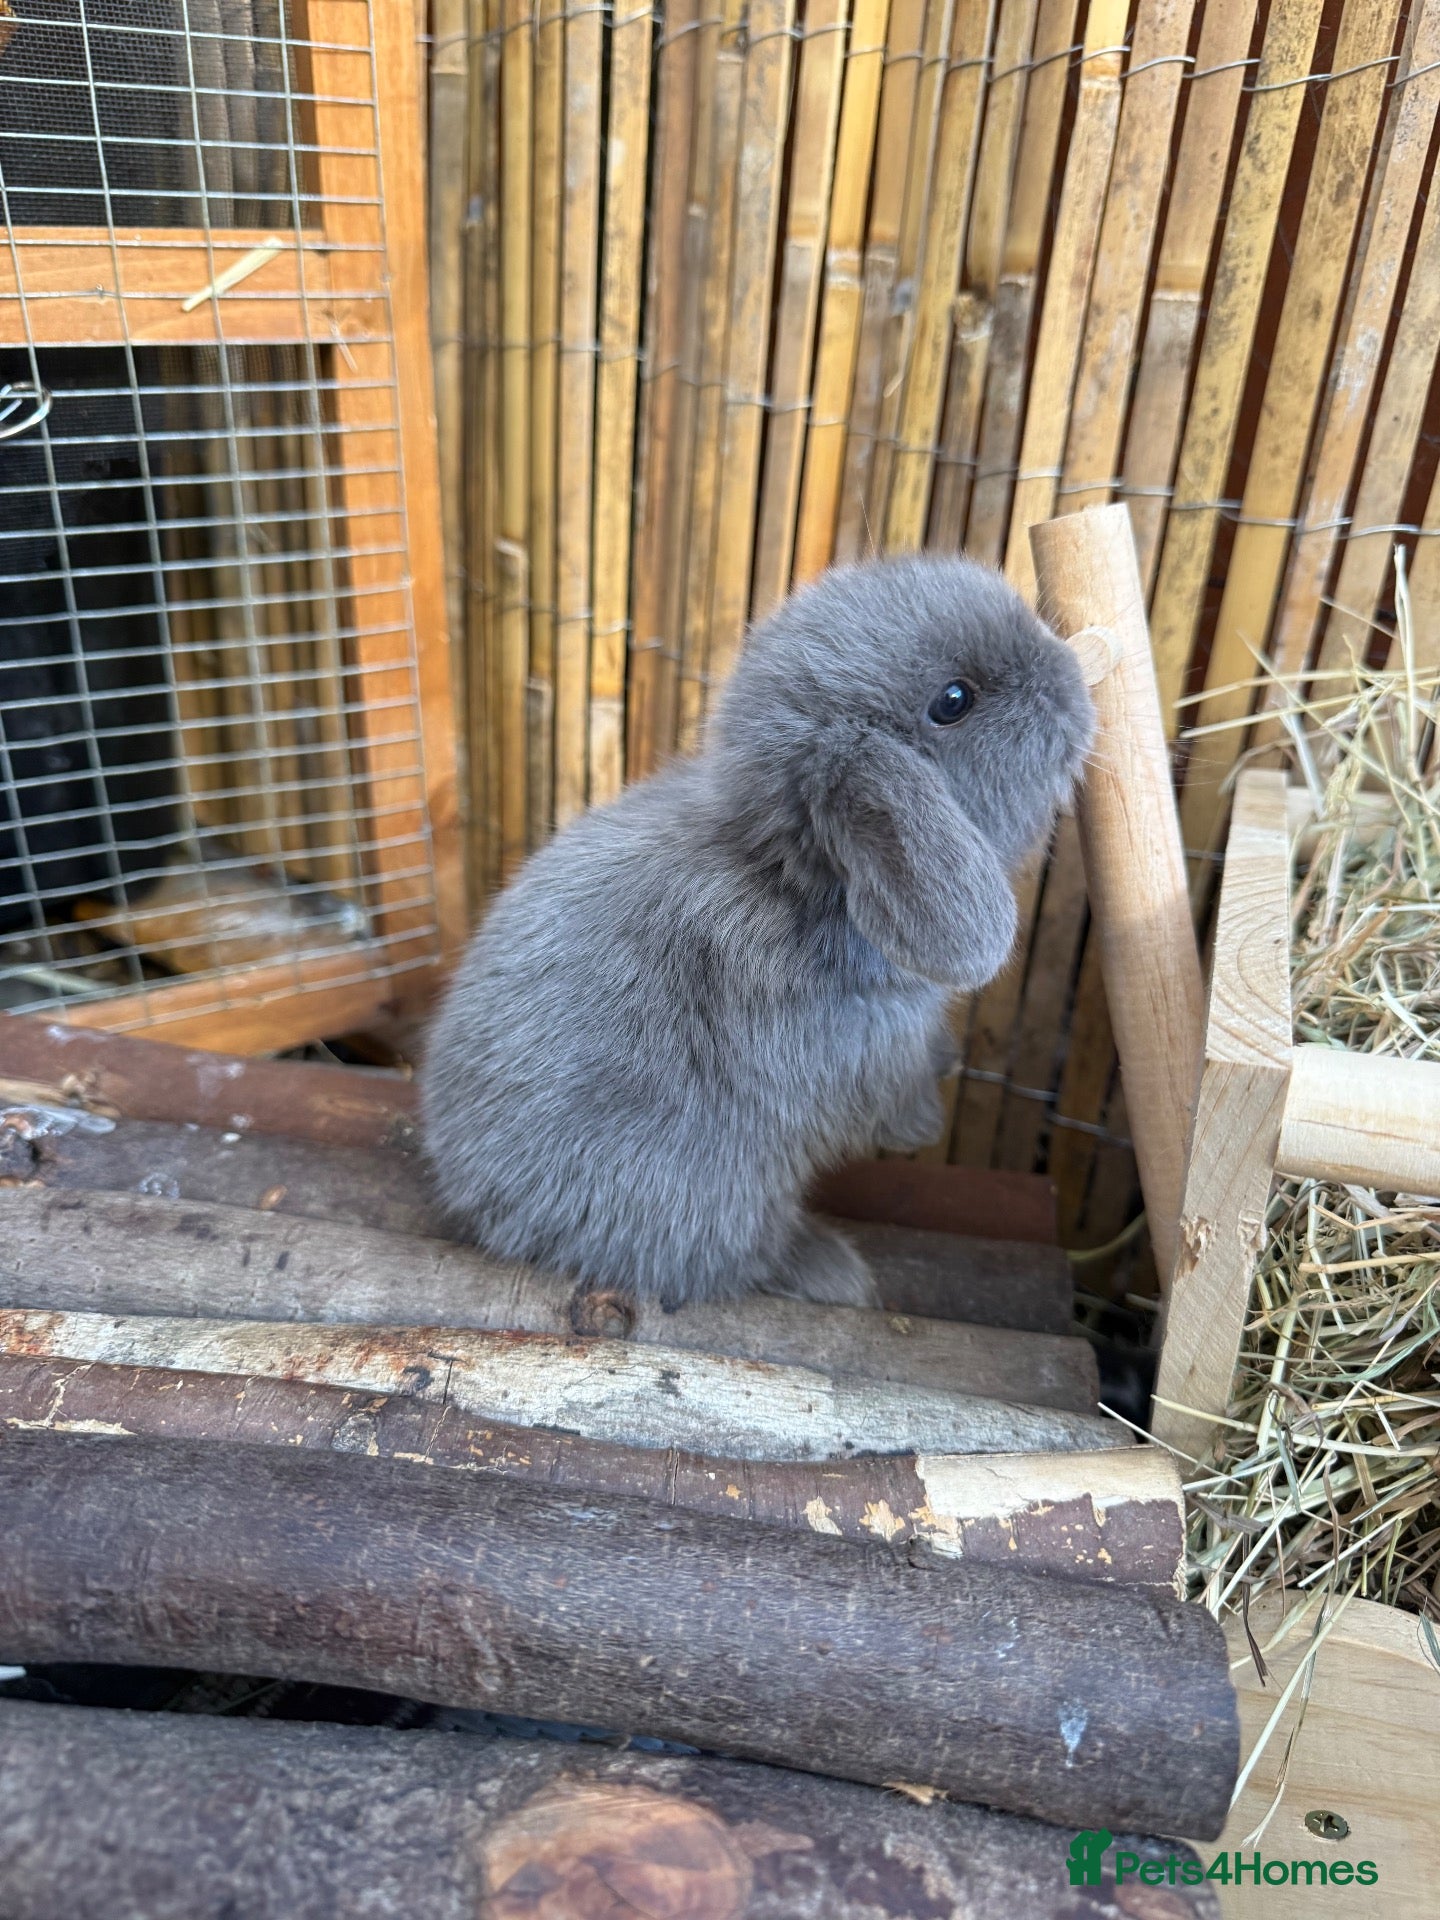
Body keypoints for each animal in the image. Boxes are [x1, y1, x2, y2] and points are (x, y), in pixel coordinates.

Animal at [422, 555, 1095, 1309]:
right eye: (954, 700)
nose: (1069, 670)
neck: (796, 879)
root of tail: (480, 1209)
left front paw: (948, 1060)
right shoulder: (864, 1055)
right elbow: (890, 1100)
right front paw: (925, 1123)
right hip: (712, 1193)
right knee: (730, 1257)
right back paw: (835, 1274)